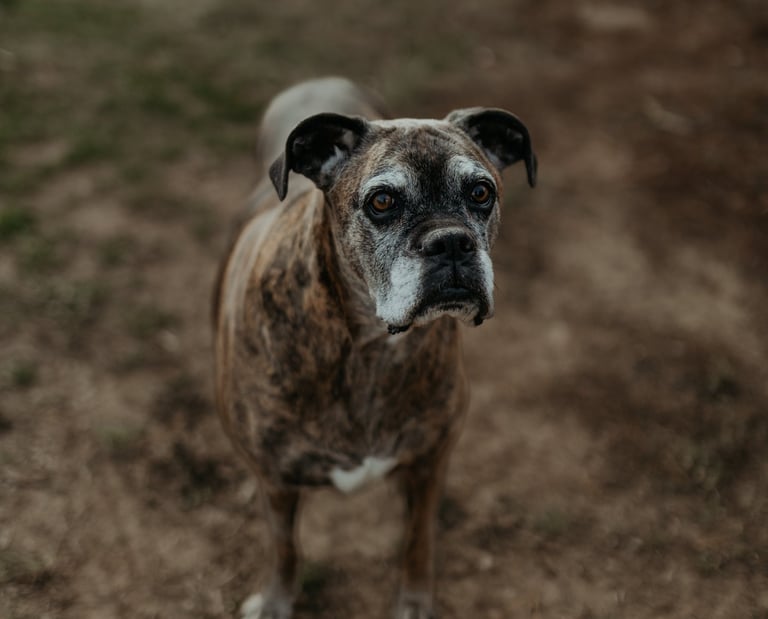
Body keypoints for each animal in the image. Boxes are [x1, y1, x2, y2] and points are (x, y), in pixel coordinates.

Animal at [213, 77, 536, 619]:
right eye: (382, 201)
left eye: (481, 192)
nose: (451, 242)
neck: (368, 347)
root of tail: (317, 82)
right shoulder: (276, 483)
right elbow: (284, 547)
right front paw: (276, 602)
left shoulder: (428, 464)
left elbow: (418, 539)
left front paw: (414, 602)